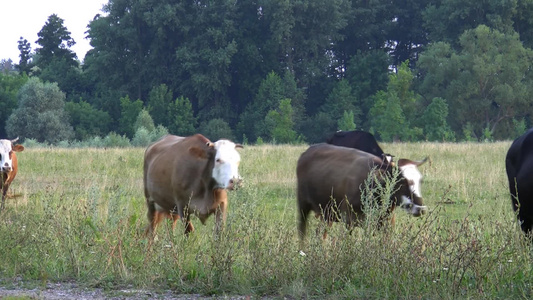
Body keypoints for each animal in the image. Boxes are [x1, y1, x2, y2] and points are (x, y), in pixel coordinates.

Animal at [296, 142, 428, 239]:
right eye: (401, 182)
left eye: (420, 181)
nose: (420, 208)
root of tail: (307, 151)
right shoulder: (348, 220)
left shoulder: (387, 222)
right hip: (303, 205)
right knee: (302, 232)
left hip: (327, 214)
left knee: (321, 234)